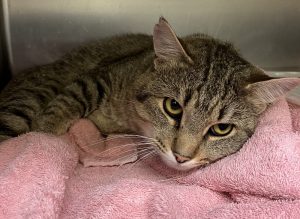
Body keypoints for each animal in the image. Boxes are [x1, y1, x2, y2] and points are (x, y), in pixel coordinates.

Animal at [0, 17, 300, 171]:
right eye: (173, 106)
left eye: (222, 129)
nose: (181, 157)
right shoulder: (103, 75)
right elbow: (74, 97)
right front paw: (45, 133)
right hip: (26, 100)